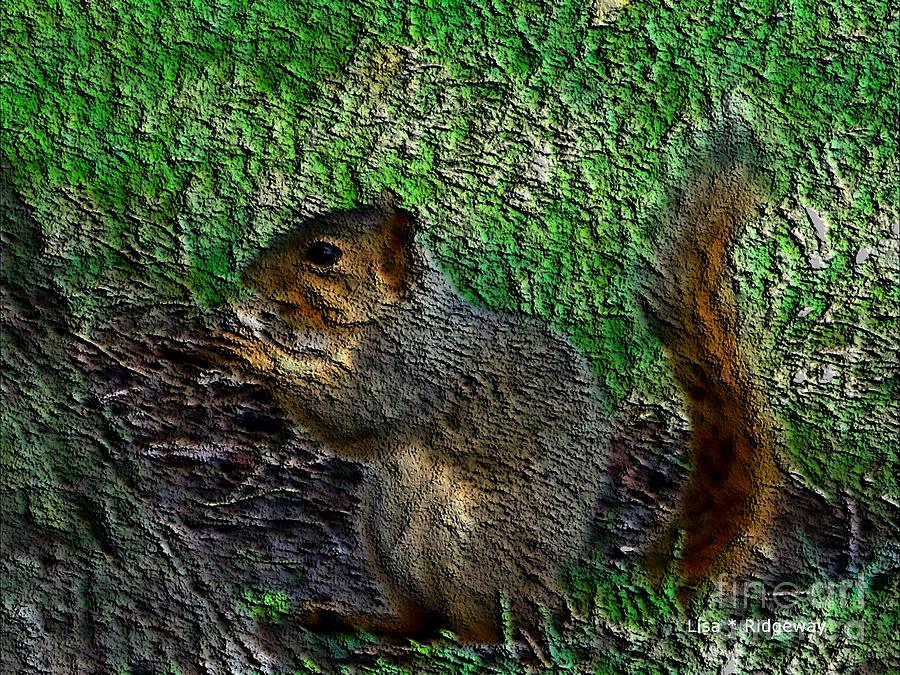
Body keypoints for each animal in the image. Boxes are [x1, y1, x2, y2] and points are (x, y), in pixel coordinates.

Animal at [214, 153, 779, 641]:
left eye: (325, 254)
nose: (247, 278)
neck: (396, 319)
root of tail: (556, 594)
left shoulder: (415, 374)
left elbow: (350, 415)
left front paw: (254, 350)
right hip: (385, 529)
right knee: (420, 617)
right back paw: (363, 622)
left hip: (471, 551)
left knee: (485, 629)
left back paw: (459, 637)